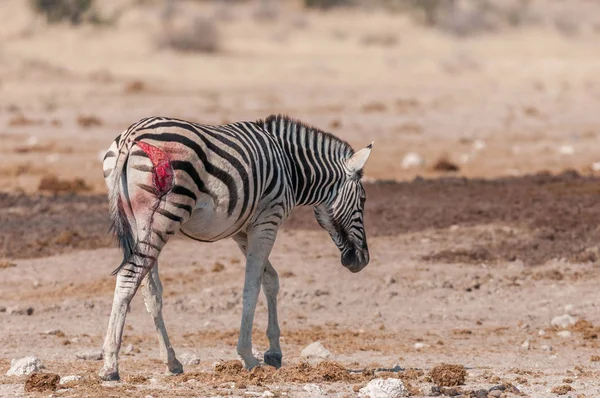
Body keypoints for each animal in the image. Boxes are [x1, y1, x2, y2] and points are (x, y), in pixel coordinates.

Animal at [99, 113, 370, 380]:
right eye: (364, 199)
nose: (363, 261)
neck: (291, 167)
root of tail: (131, 135)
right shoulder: (267, 222)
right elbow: (252, 287)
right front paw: (248, 356)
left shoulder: (243, 230)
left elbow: (270, 279)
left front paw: (274, 352)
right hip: (164, 214)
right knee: (128, 277)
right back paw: (111, 365)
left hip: (138, 223)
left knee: (150, 290)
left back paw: (171, 361)